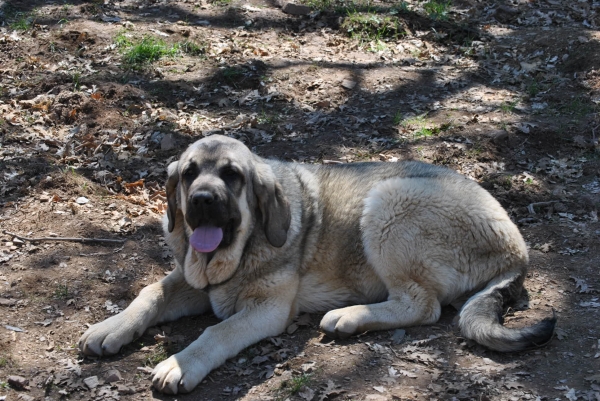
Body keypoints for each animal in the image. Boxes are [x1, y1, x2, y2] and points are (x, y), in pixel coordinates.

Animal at [77, 134, 556, 394]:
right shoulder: (192, 281)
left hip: (390, 202)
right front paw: (112, 327)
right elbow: (149, 292)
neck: (237, 252)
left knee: (423, 306)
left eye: (232, 176)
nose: (201, 201)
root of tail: (517, 247)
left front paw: (181, 364)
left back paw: (349, 316)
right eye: (190, 173)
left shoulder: (265, 309)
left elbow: (217, 332)